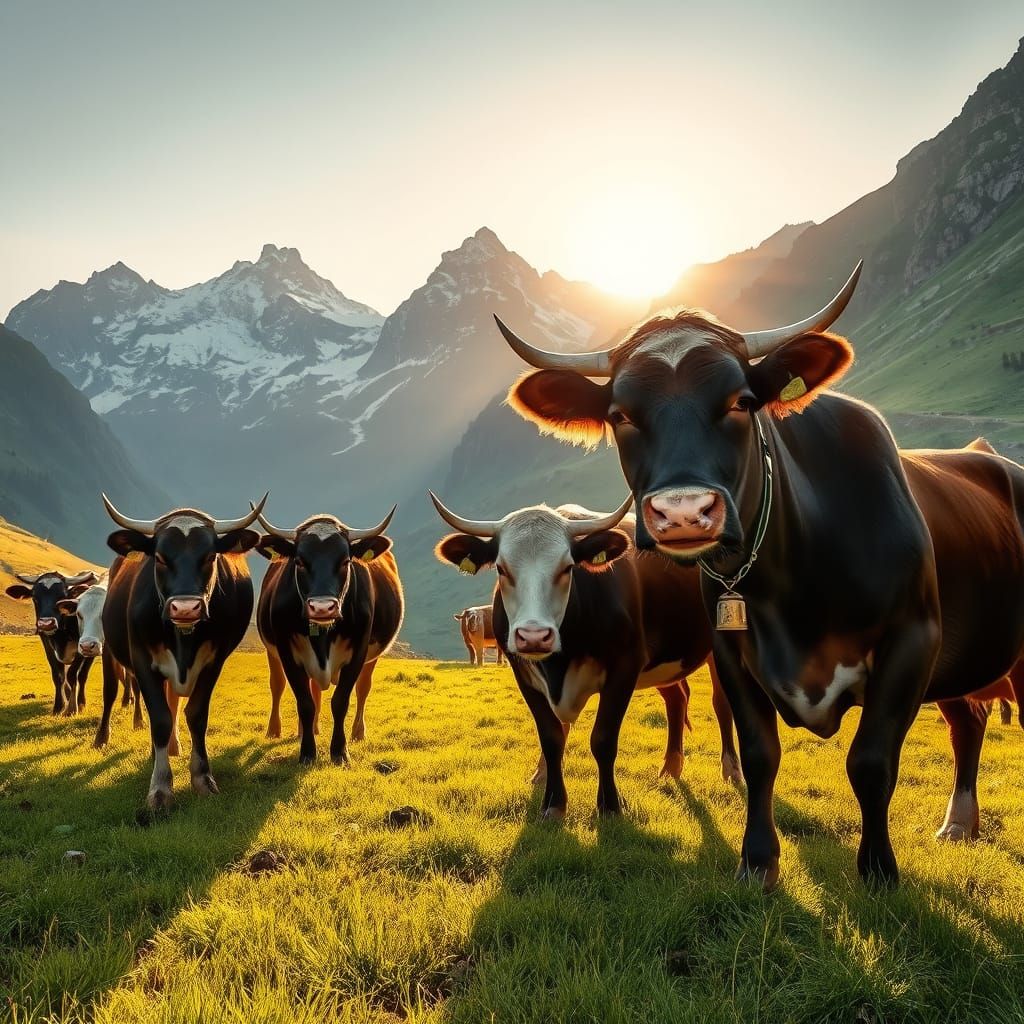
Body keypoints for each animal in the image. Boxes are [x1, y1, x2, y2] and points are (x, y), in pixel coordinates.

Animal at [5, 569, 99, 714]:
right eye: (34, 597)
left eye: (62, 597)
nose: (46, 623)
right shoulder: (47, 643)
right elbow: (58, 675)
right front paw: (59, 706)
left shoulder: (83, 646)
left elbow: (72, 674)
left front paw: (72, 708)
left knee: (82, 675)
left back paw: (81, 702)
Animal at [99, 494, 265, 808]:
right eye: (160, 557)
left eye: (210, 556)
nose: (186, 608)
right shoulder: (142, 660)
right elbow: (160, 719)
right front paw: (160, 788)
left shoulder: (214, 662)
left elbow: (196, 715)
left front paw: (203, 778)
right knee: (117, 694)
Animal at [254, 506, 404, 765]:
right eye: (299, 562)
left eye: (345, 561)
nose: (323, 608)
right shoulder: (286, 651)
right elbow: (305, 702)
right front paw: (307, 752)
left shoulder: (359, 651)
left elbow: (341, 701)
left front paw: (340, 752)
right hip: (272, 652)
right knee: (279, 685)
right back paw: (285, 730)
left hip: (372, 656)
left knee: (363, 688)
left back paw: (357, 732)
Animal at [431, 492, 741, 820]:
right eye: (502, 569)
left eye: (568, 567)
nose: (534, 636)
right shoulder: (524, 674)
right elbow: (552, 737)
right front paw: (553, 802)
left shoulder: (625, 667)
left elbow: (603, 739)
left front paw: (610, 806)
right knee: (677, 699)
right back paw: (670, 767)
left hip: (720, 643)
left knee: (721, 704)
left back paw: (731, 769)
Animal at [497, 268, 1024, 887]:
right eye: (620, 414)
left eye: (742, 402)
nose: (682, 513)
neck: (795, 580)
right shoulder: (732, 652)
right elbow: (759, 754)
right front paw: (757, 861)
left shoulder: (913, 639)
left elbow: (870, 761)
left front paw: (877, 869)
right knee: (968, 720)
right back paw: (960, 821)